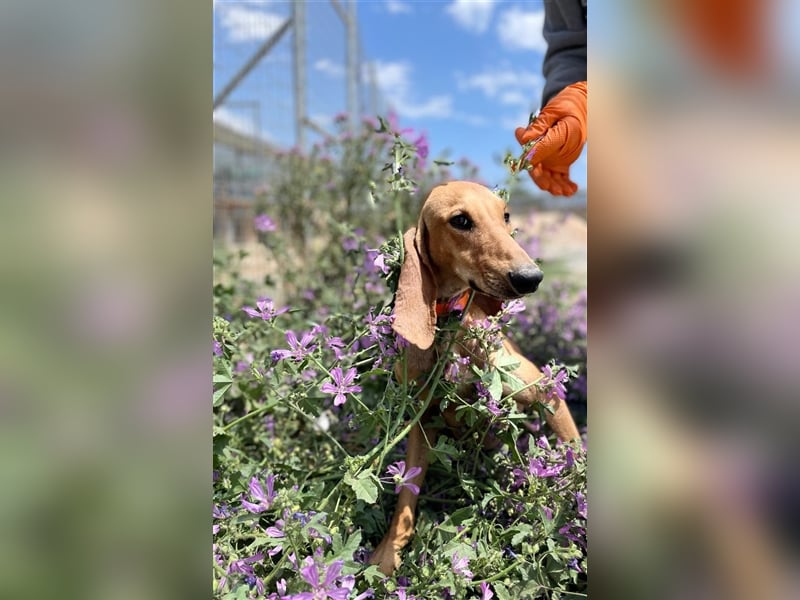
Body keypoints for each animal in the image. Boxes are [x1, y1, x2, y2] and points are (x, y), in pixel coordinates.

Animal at [368, 180, 580, 576]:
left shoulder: (549, 396)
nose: (531, 278)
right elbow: (406, 498)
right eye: (461, 221)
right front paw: (388, 552)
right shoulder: (422, 424)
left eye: (506, 215)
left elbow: (577, 453)